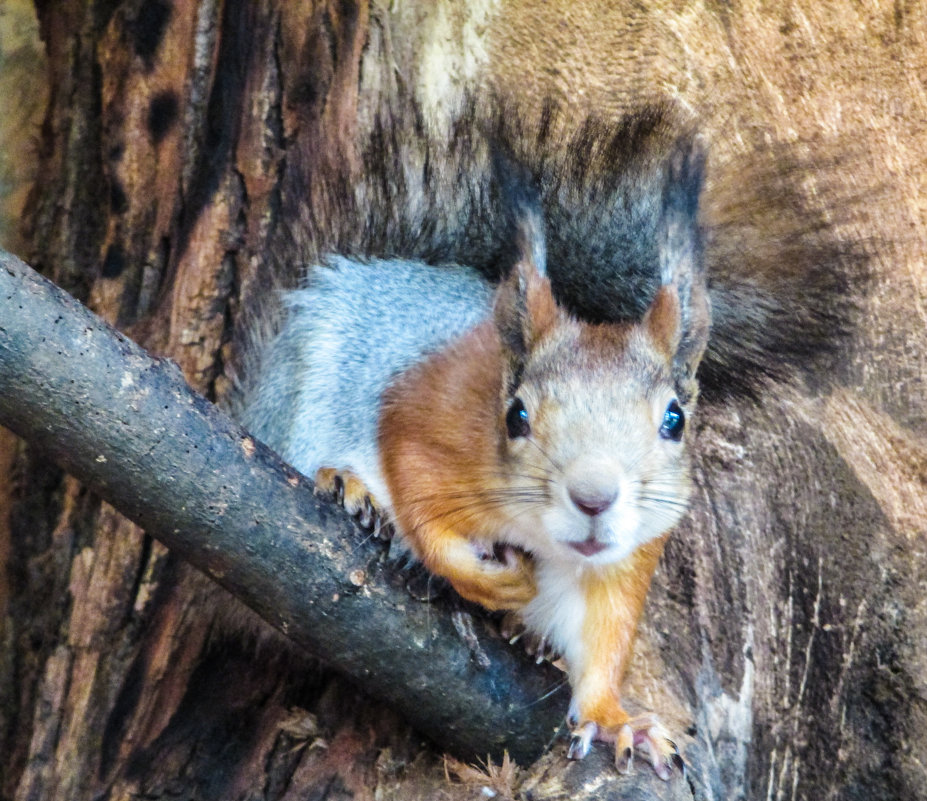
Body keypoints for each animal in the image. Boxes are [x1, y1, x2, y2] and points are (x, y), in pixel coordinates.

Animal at [245, 134, 712, 780]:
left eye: (675, 420)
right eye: (516, 416)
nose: (594, 497)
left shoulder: (630, 552)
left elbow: (604, 643)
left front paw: (616, 719)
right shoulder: (420, 440)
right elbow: (430, 526)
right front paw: (495, 581)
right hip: (301, 397)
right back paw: (348, 486)